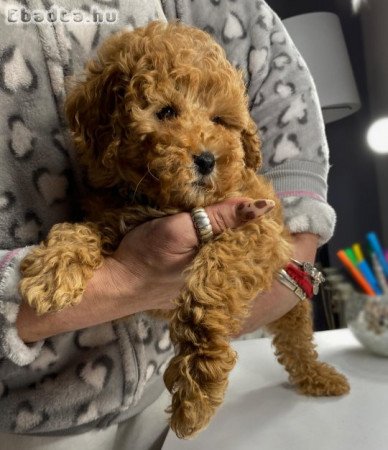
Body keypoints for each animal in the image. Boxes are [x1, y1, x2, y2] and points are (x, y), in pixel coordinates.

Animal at [19, 22, 350, 440]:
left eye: (220, 120)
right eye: (165, 112)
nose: (207, 160)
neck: (166, 201)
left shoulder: (257, 229)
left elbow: (214, 277)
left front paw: (197, 386)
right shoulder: (113, 216)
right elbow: (79, 231)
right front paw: (52, 270)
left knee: (297, 340)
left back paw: (319, 376)